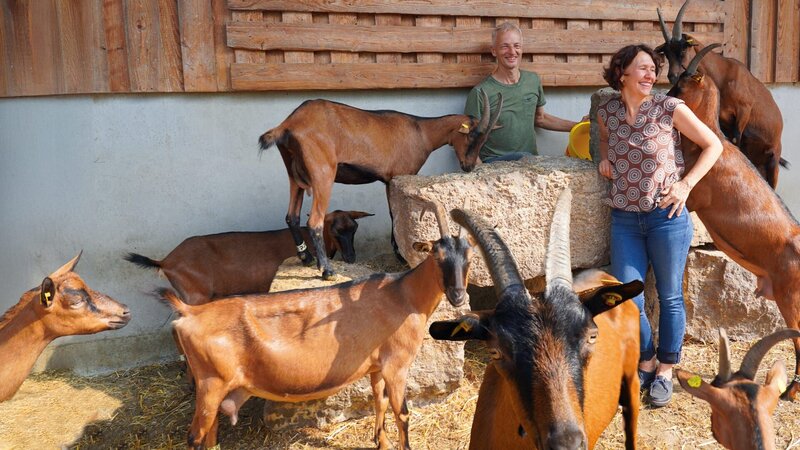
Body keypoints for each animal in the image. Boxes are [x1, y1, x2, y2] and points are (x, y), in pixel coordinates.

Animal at [158, 199, 474, 449]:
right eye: (436, 254)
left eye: (470, 257)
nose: (458, 296)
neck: (403, 295)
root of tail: (189, 312)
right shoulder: (396, 365)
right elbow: (402, 413)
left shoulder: (376, 366)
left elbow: (379, 402)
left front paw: (380, 442)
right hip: (211, 383)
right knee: (195, 436)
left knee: (210, 432)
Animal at [258, 92, 502, 280]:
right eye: (472, 137)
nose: (468, 166)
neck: (421, 131)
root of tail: (287, 126)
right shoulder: (399, 175)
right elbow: (395, 214)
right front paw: (400, 255)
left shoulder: (388, 179)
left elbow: (393, 213)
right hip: (323, 175)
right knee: (314, 221)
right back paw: (326, 270)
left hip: (294, 176)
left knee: (292, 216)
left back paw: (306, 258)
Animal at [656, 0, 786, 188]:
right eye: (666, 52)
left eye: (683, 50)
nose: (672, 76)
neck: (723, 74)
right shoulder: (724, 122)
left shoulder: (744, 112)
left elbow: (735, 141)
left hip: (773, 161)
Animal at [667, 47, 800, 400]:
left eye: (682, 83)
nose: (666, 99)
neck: (714, 142)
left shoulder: (694, 198)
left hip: (790, 297)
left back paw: (790, 392)